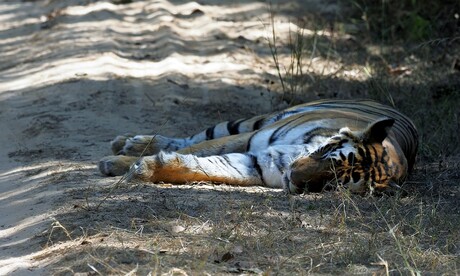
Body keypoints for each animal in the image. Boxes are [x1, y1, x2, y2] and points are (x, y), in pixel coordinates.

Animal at [99, 99, 418, 194]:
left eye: (333, 184)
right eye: (326, 153)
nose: (294, 178)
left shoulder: (258, 165)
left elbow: (207, 167)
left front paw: (145, 168)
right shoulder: (253, 139)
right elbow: (198, 151)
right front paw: (119, 165)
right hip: (253, 122)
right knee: (193, 138)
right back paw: (127, 143)